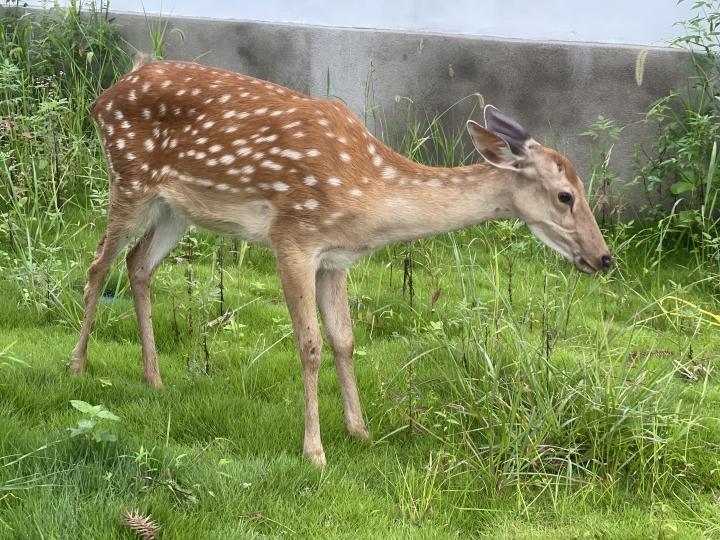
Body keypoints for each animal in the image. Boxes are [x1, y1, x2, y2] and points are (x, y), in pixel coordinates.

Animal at [69, 58, 612, 464]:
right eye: (565, 195)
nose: (604, 258)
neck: (368, 196)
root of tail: (101, 98)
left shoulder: (336, 259)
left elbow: (346, 341)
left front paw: (359, 430)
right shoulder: (292, 237)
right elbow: (309, 345)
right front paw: (314, 451)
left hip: (177, 208)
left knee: (138, 264)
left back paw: (154, 378)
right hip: (130, 178)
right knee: (97, 265)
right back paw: (76, 365)